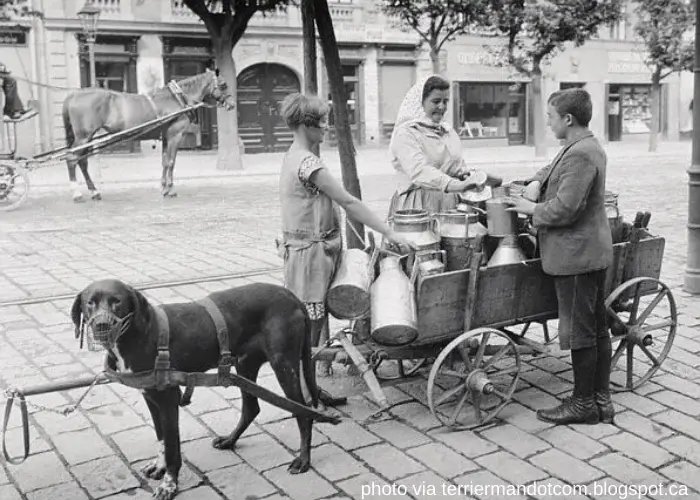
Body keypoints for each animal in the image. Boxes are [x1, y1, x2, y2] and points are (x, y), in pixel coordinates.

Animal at [61, 69, 235, 201]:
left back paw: (94, 191)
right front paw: (170, 189)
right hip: (83, 137)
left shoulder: (166, 137)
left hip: (87, 138)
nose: (232, 104)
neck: (177, 98)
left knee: (82, 162)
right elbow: (171, 162)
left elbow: (164, 162)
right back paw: (76, 193)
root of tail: (73, 95)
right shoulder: (175, 136)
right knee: (71, 158)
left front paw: (164, 188)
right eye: (223, 85)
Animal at [72, 278, 334, 500]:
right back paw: (230, 440)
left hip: (284, 364)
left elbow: (173, 447)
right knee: (252, 408)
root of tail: (292, 296)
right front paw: (159, 466)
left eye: (117, 301)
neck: (138, 335)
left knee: (303, 411)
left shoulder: (169, 400)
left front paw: (169, 485)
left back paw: (303, 460)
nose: (101, 326)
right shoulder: (151, 398)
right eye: (90, 303)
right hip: (245, 365)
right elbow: (161, 439)